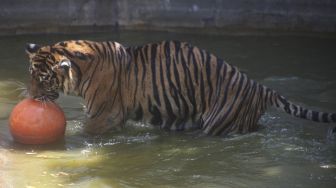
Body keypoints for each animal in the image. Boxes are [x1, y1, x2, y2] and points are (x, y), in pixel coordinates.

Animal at [25, 40, 336, 136]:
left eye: (44, 78)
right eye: (30, 76)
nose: (30, 97)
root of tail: (259, 86)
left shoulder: (105, 114)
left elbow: (87, 132)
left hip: (219, 121)